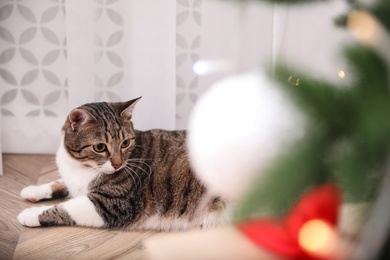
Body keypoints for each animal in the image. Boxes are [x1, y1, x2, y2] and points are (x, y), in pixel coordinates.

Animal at [16, 98, 227, 232]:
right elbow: (59, 182)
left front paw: (31, 213)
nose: (117, 165)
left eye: (125, 143)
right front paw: (33, 190)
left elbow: (67, 207)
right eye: (100, 147)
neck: (83, 167)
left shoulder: (114, 204)